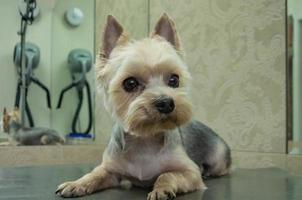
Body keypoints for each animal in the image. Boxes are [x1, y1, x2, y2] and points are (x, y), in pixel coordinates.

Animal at [56, 13, 231, 199]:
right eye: (130, 83)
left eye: (174, 80)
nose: (166, 102)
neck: (145, 140)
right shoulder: (110, 168)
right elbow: (95, 174)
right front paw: (76, 184)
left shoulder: (190, 172)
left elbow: (167, 175)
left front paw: (161, 189)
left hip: (219, 157)